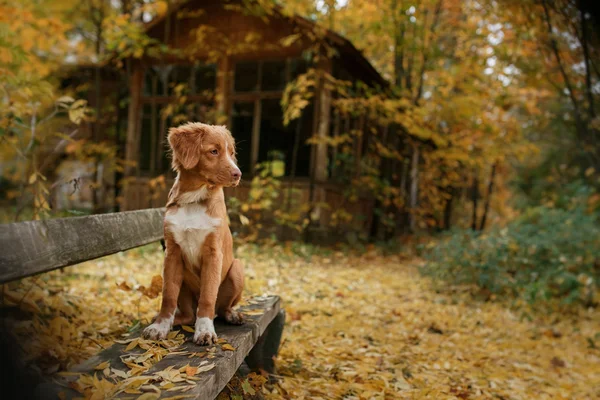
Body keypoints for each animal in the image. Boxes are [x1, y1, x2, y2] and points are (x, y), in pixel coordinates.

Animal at [142, 121, 244, 344]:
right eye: (214, 151)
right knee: (189, 315)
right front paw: (160, 326)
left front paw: (205, 330)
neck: (194, 199)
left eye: (232, 153)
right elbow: (168, 296)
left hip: (236, 269)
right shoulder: (171, 253)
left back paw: (232, 315)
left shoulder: (213, 254)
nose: (238, 174)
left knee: (221, 308)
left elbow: (208, 296)